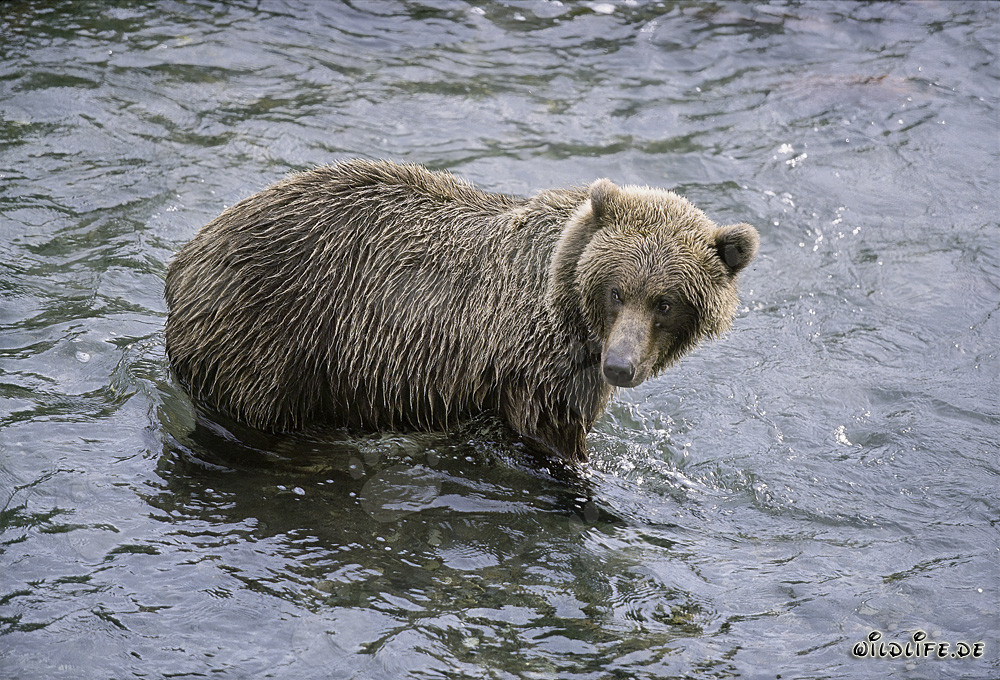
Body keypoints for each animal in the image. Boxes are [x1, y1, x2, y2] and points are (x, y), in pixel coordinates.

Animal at [164, 160, 758, 464]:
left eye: (665, 302)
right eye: (617, 291)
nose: (621, 366)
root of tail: (187, 255)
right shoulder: (537, 371)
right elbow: (552, 440)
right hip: (270, 336)